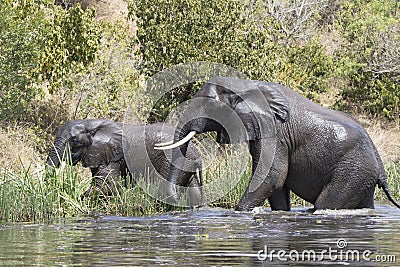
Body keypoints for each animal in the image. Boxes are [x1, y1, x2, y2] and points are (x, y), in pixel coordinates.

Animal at [47, 120, 203, 207]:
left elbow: (108, 184)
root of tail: (197, 154)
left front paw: (77, 200)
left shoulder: (112, 156)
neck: (91, 124)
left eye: (73, 140)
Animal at [156, 77, 400, 211]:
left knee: (325, 204)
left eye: (209, 104)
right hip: (363, 177)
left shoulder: (274, 133)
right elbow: (276, 184)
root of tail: (380, 165)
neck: (247, 85)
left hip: (352, 171)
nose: (177, 201)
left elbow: (273, 175)